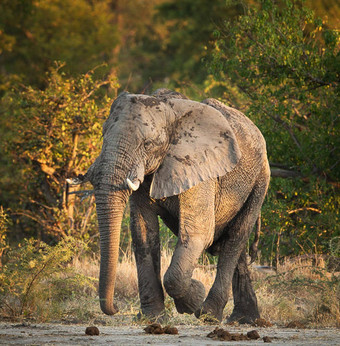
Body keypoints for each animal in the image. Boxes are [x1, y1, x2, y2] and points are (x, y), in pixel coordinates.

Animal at [67, 88, 270, 324]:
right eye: (103, 136)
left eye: (147, 144)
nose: (115, 308)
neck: (169, 112)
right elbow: (143, 235)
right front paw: (153, 318)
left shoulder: (198, 169)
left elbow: (198, 234)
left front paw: (194, 299)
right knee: (237, 248)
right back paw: (244, 319)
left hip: (260, 180)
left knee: (235, 239)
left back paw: (209, 315)